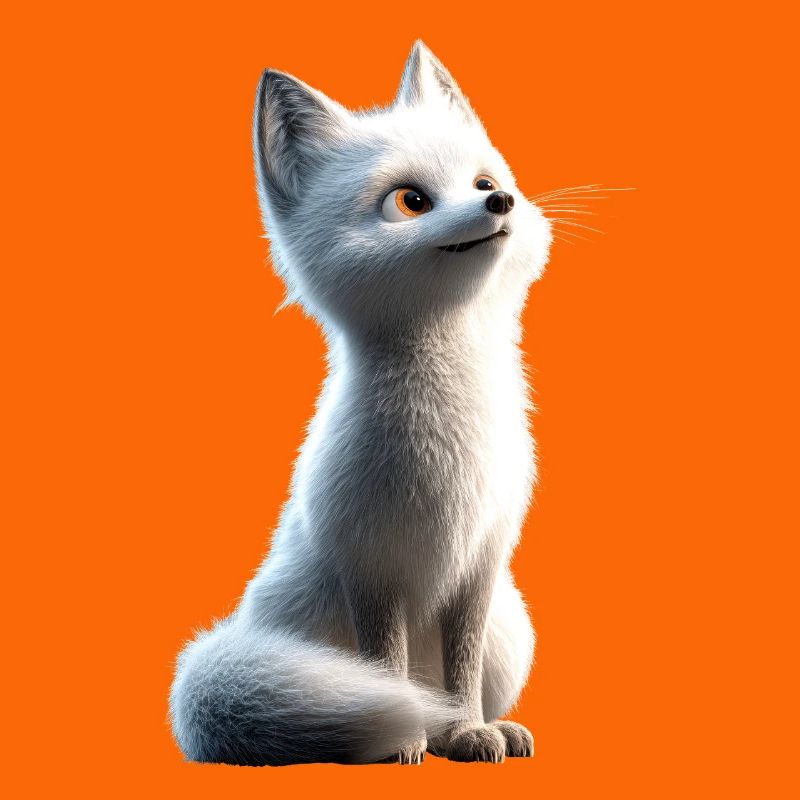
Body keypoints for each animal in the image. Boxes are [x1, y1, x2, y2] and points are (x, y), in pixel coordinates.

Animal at [169, 40, 552, 766]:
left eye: (483, 181)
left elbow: (460, 671)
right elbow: (385, 665)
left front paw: (468, 730)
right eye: (411, 200)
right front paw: (410, 739)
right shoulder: (371, 564)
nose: (502, 201)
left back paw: (490, 726)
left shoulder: (481, 561)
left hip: (510, 630)